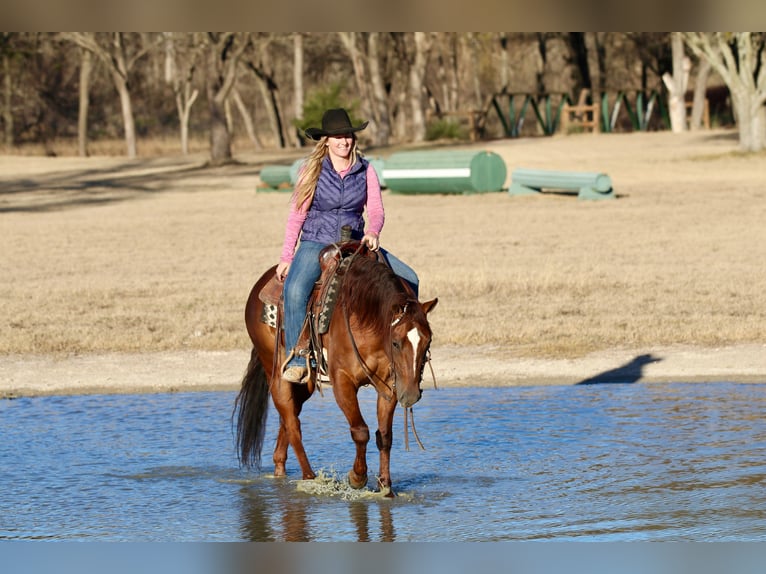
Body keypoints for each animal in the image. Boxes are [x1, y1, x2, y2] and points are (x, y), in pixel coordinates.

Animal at [234, 242, 438, 496]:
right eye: (396, 342)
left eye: (428, 341)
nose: (410, 395)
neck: (366, 315)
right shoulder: (343, 381)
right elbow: (360, 431)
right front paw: (357, 477)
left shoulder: (389, 383)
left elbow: (385, 435)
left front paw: (385, 487)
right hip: (276, 372)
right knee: (292, 423)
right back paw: (310, 478)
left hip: (306, 383)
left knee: (289, 417)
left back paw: (280, 469)